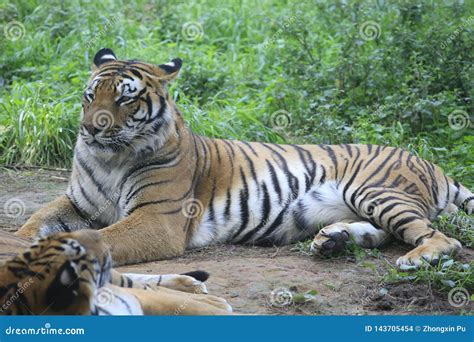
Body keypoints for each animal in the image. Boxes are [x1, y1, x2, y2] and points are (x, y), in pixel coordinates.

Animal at [15, 48, 474, 270]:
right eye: (90, 95)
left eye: (125, 98)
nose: (90, 129)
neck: (111, 159)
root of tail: (428, 162)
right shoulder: (76, 203)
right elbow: (35, 221)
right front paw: (21, 242)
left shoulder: (156, 219)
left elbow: (102, 238)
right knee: (387, 233)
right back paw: (333, 241)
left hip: (376, 190)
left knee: (438, 237)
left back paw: (416, 259)